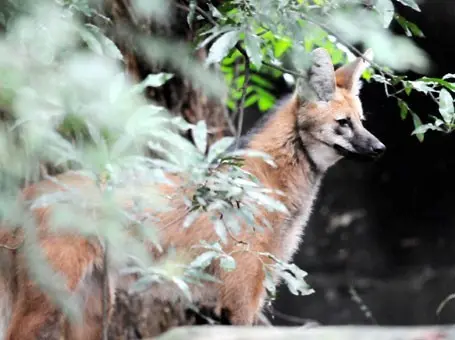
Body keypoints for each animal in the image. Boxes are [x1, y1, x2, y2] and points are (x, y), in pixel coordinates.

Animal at [0, 46, 384, 338]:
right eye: (343, 124)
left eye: (362, 121)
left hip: (91, 307)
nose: (380, 148)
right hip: (47, 301)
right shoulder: (240, 297)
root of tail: (25, 195)